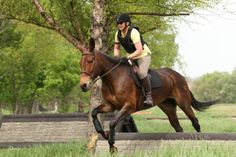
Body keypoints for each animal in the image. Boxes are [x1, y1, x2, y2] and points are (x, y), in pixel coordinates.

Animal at [79, 38, 218, 152]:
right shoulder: (110, 106)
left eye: (90, 61)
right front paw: (104, 134)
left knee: (195, 122)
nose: (83, 85)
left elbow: (112, 123)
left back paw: (200, 140)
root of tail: (180, 76)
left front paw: (112, 144)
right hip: (168, 107)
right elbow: (94, 113)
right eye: (80, 63)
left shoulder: (129, 107)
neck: (114, 78)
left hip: (184, 103)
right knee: (178, 127)